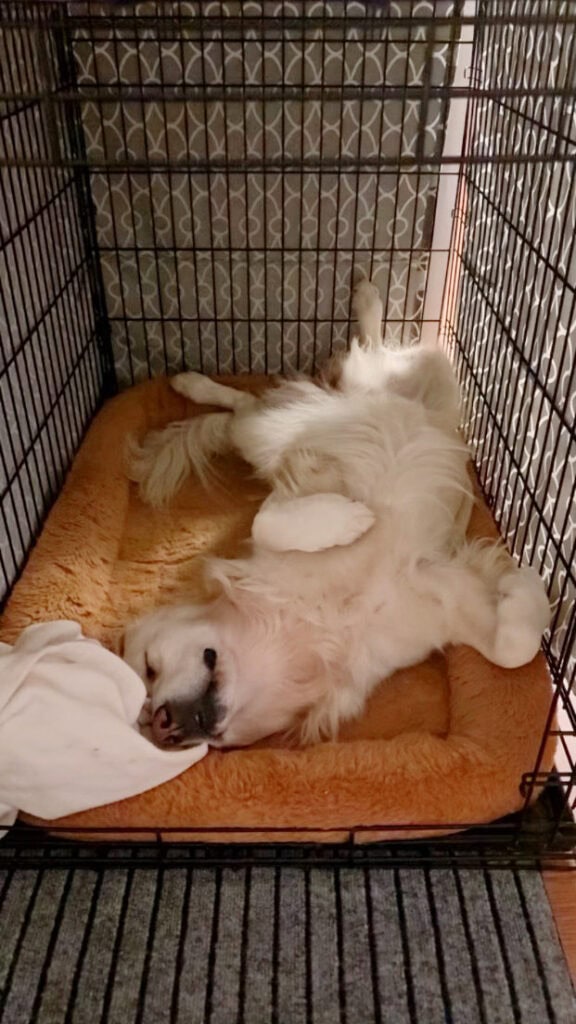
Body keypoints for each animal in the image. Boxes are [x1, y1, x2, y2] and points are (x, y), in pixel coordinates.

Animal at [124, 282, 545, 753]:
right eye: (144, 717)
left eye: (150, 667)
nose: (163, 725)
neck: (316, 625)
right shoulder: (446, 594)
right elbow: (512, 649)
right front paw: (523, 586)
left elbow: (514, 651)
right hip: (272, 428)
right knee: (254, 405)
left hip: (347, 400)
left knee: (329, 375)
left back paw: (365, 300)